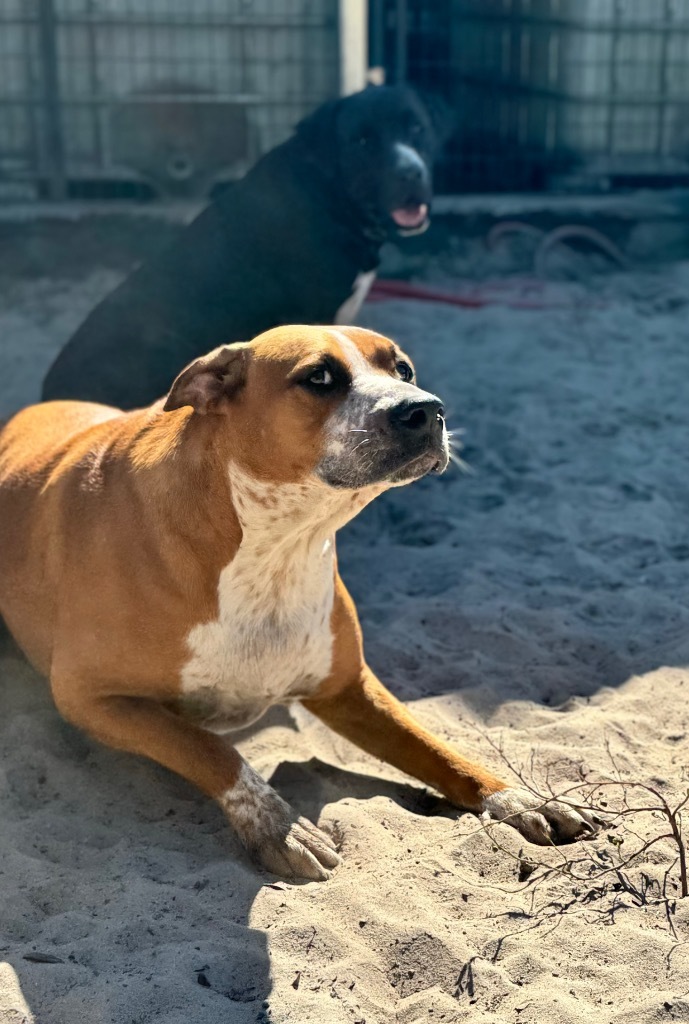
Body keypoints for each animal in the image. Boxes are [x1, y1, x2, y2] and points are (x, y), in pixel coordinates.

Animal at [0, 325, 597, 880]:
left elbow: (433, 746)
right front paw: (279, 825)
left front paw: (514, 796)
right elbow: (210, 748)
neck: (276, 547)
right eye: (320, 377)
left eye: (403, 369)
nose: (426, 410)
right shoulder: (90, 697)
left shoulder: (348, 687)